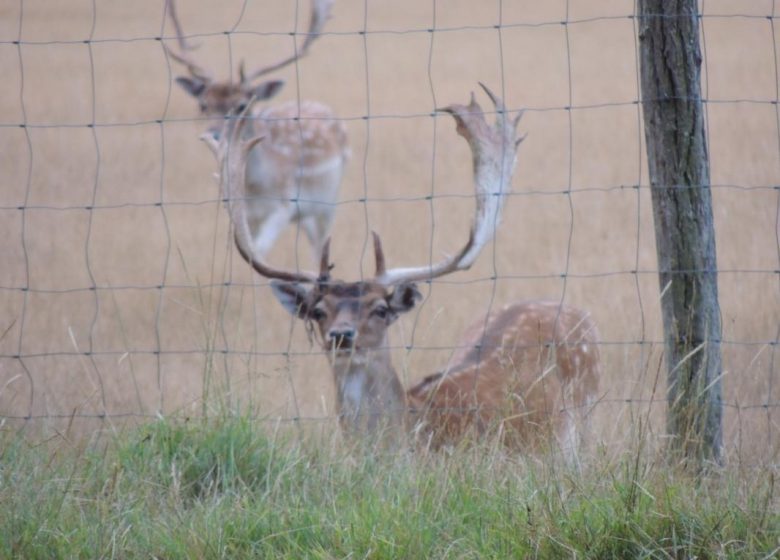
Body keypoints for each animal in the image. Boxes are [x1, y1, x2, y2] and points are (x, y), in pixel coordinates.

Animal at [167, 0, 350, 258]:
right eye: (203, 105)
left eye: (243, 104)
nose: (214, 134)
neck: (254, 186)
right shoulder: (246, 214)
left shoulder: (283, 206)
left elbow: (260, 250)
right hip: (305, 214)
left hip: (328, 200)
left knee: (320, 243)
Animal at [204, 84, 600, 456]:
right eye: (318, 311)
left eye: (380, 309)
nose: (341, 335)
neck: (416, 436)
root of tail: (565, 307)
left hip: (584, 421)